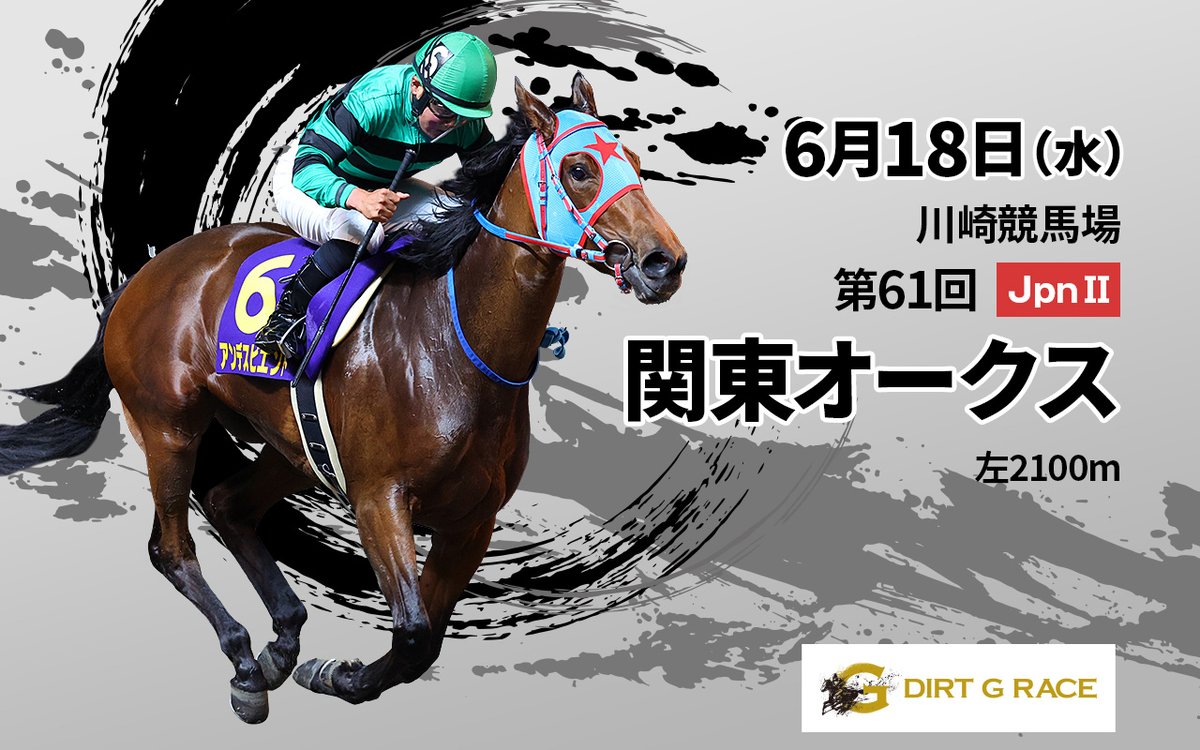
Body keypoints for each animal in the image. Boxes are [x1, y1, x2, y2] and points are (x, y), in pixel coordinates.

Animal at [0, 72, 686, 722]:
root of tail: (148, 272)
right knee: (171, 548)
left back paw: (282, 641)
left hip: (294, 447)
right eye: (579, 169)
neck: (456, 348)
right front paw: (337, 675)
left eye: (631, 158)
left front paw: (332, 670)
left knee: (229, 506)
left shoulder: (472, 520)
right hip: (168, 426)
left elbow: (427, 641)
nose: (665, 262)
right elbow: (412, 634)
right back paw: (245, 661)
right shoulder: (379, 498)